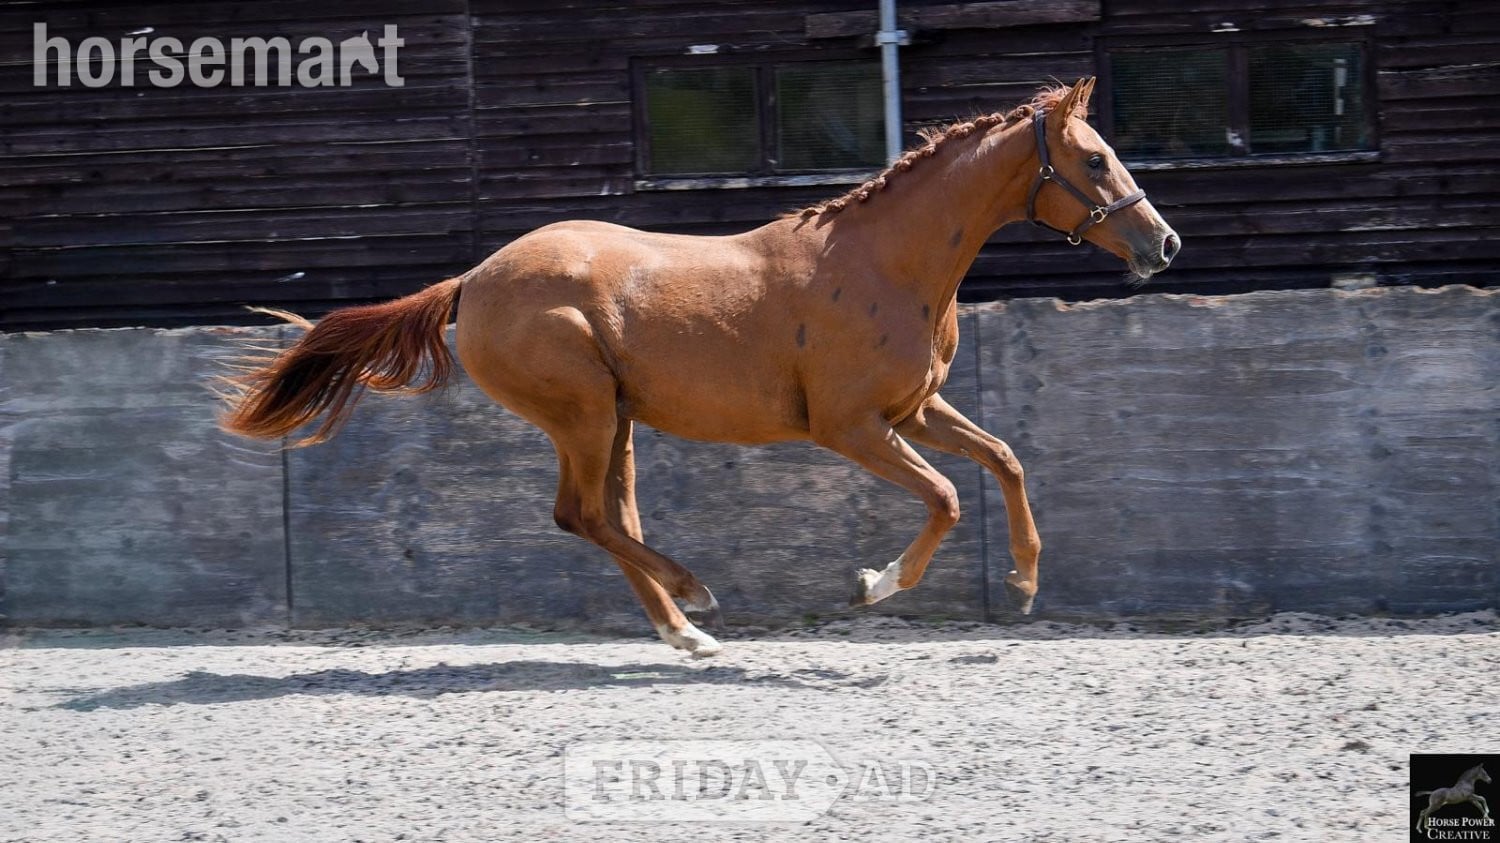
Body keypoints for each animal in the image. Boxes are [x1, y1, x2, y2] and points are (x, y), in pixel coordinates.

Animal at [220, 78, 1179, 656]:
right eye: (1095, 159)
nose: (1162, 243)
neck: (885, 262)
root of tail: (473, 281)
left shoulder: (913, 410)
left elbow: (1005, 460)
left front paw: (1023, 582)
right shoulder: (850, 427)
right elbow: (945, 495)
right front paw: (875, 586)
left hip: (615, 422)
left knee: (607, 517)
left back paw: (686, 630)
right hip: (584, 413)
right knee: (581, 516)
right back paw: (698, 598)